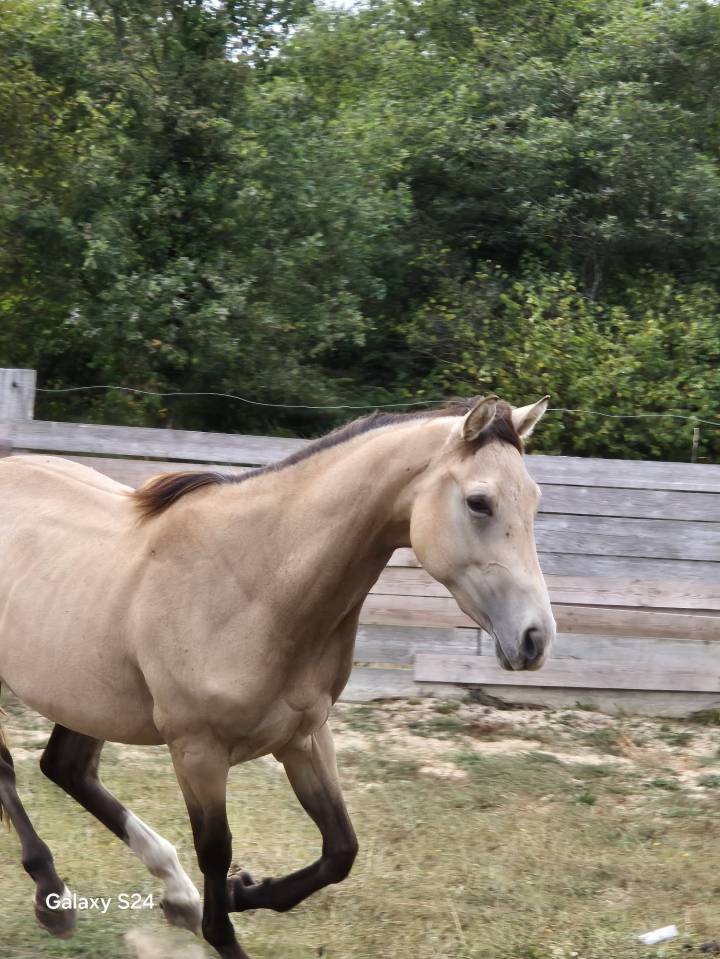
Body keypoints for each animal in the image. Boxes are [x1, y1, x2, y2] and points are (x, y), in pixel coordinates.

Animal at [0, 394, 554, 958]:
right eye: (479, 502)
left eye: (534, 499)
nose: (535, 638)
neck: (256, 584)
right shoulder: (197, 751)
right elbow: (215, 849)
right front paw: (224, 919)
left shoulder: (304, 737)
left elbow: (340, 849)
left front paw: (243, 891)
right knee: (11, 772)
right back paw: (54, 898)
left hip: (86, 698)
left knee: (67, 769)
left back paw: (175, 895)